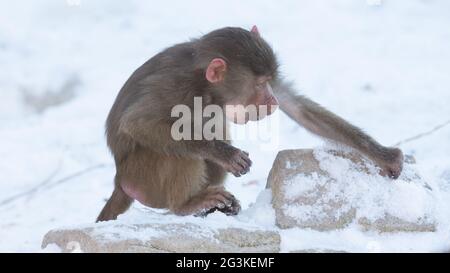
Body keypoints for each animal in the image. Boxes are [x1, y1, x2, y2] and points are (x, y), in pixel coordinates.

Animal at [96, 26, 404, 221]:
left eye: (269, 81)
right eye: (258, 84)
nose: (271, 100)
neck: (207, 87)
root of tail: (119, 181)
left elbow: (299, 109)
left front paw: (385, 156)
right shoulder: (175, 86)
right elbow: (138, 124)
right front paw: (224, 153)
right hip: (143, 177)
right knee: (176, 146)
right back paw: (186, 205)